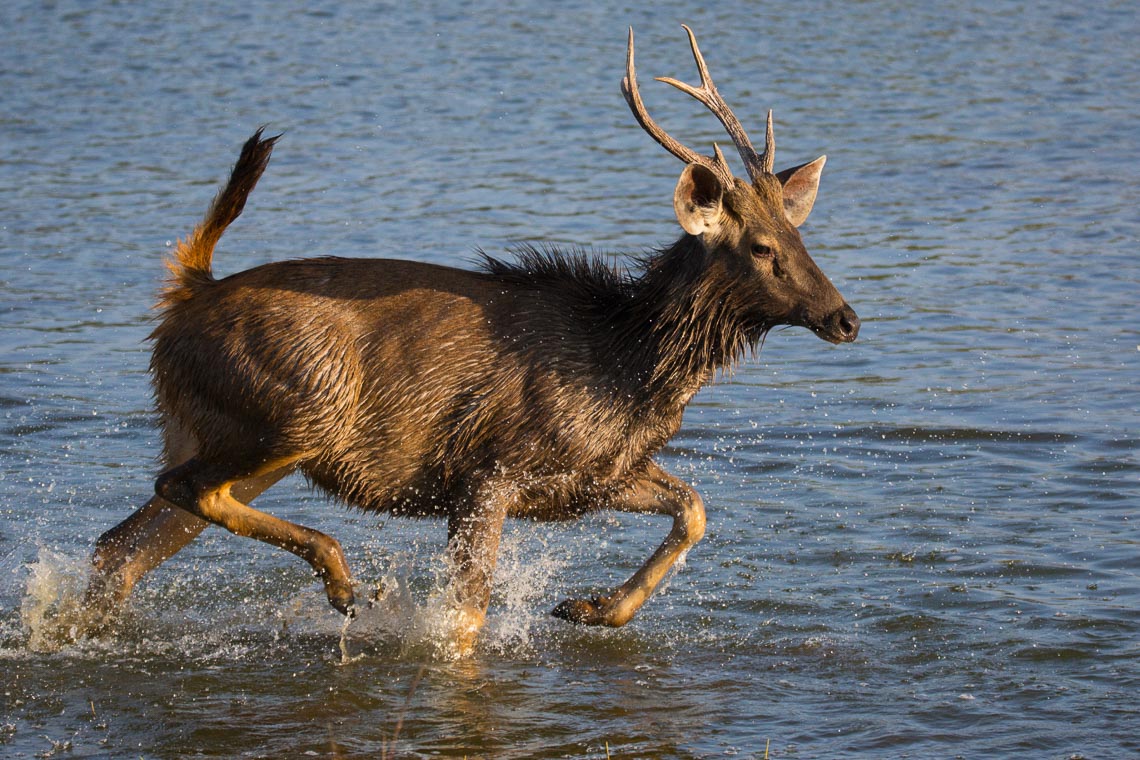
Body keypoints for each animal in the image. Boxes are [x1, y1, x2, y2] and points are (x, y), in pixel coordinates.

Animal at [84, 26, 857, 651]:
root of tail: (185, 294)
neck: (627, 366)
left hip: (214, 424)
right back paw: (343, 579)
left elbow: (693, 508)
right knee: (177, 491)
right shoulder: (489, 471)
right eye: (760, 247)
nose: (846, 318)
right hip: (300, 406)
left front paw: (590, 607)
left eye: (801, 237)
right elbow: (464, 620)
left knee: (119, 544)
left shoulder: (597, 475)